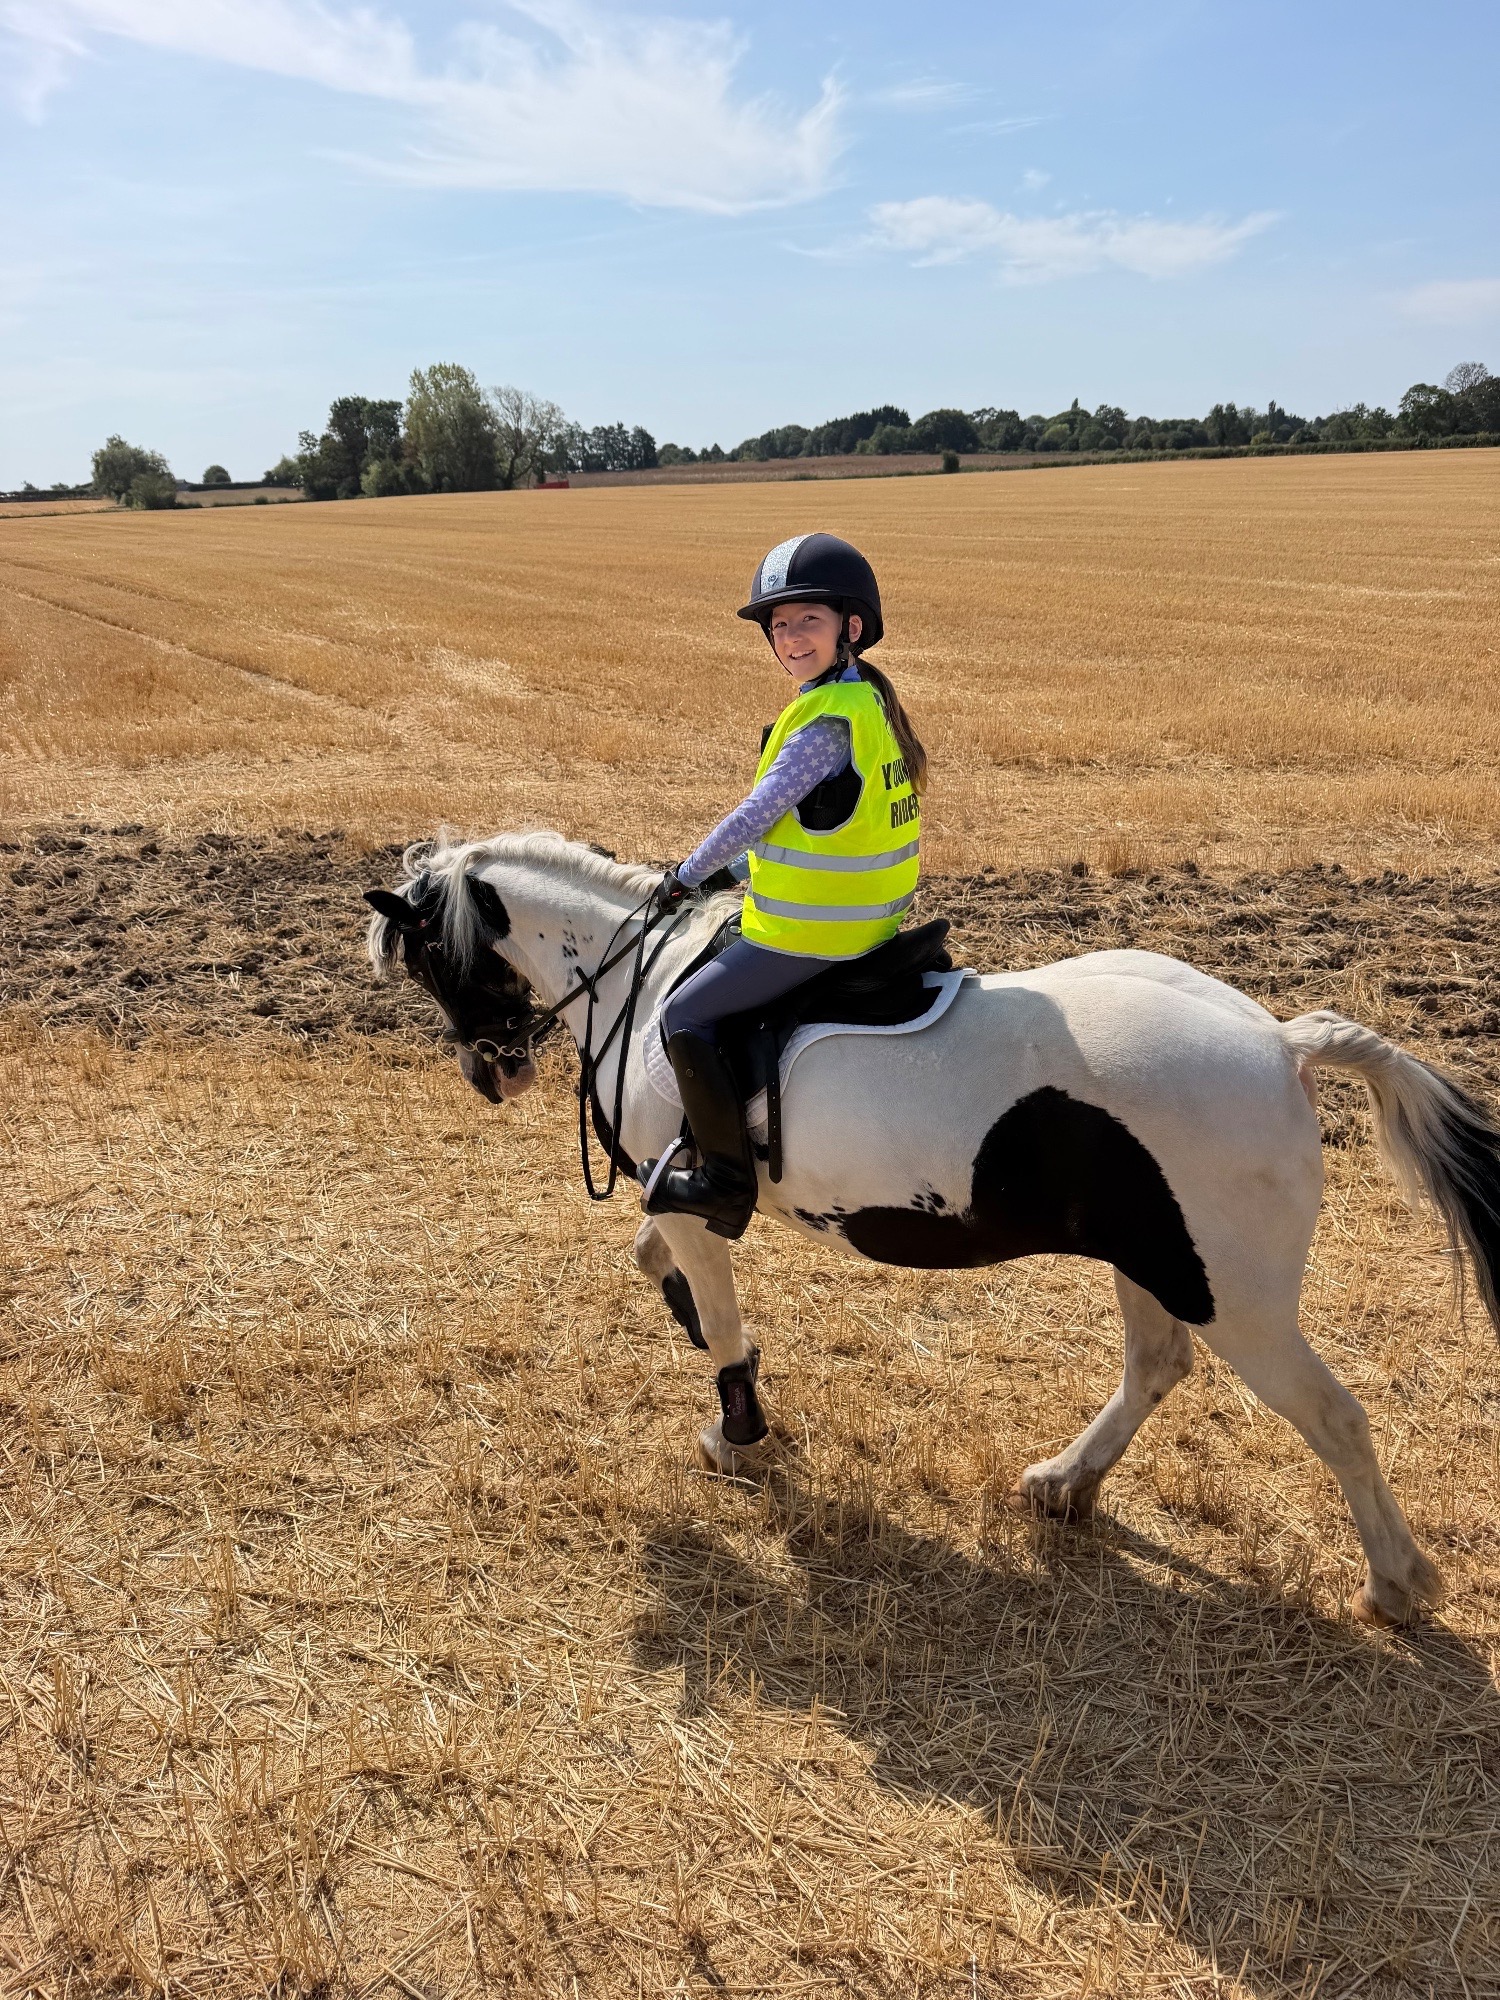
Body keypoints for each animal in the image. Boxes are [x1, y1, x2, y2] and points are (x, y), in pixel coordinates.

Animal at [365, 829, 1500, 1628]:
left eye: (427, 957)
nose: (493, 1070)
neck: (645, 986)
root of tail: (1281, 1042)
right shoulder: (672, 1194)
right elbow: (661, 1260)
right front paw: (701, 1332)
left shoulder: (690, 1194)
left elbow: (714, 1313)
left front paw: (737, 1432)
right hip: (1155, 1260)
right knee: (1156, 1365)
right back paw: (1065, 1483)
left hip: (1240, 1300)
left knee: (1335, 1418)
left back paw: (1397, 1583)